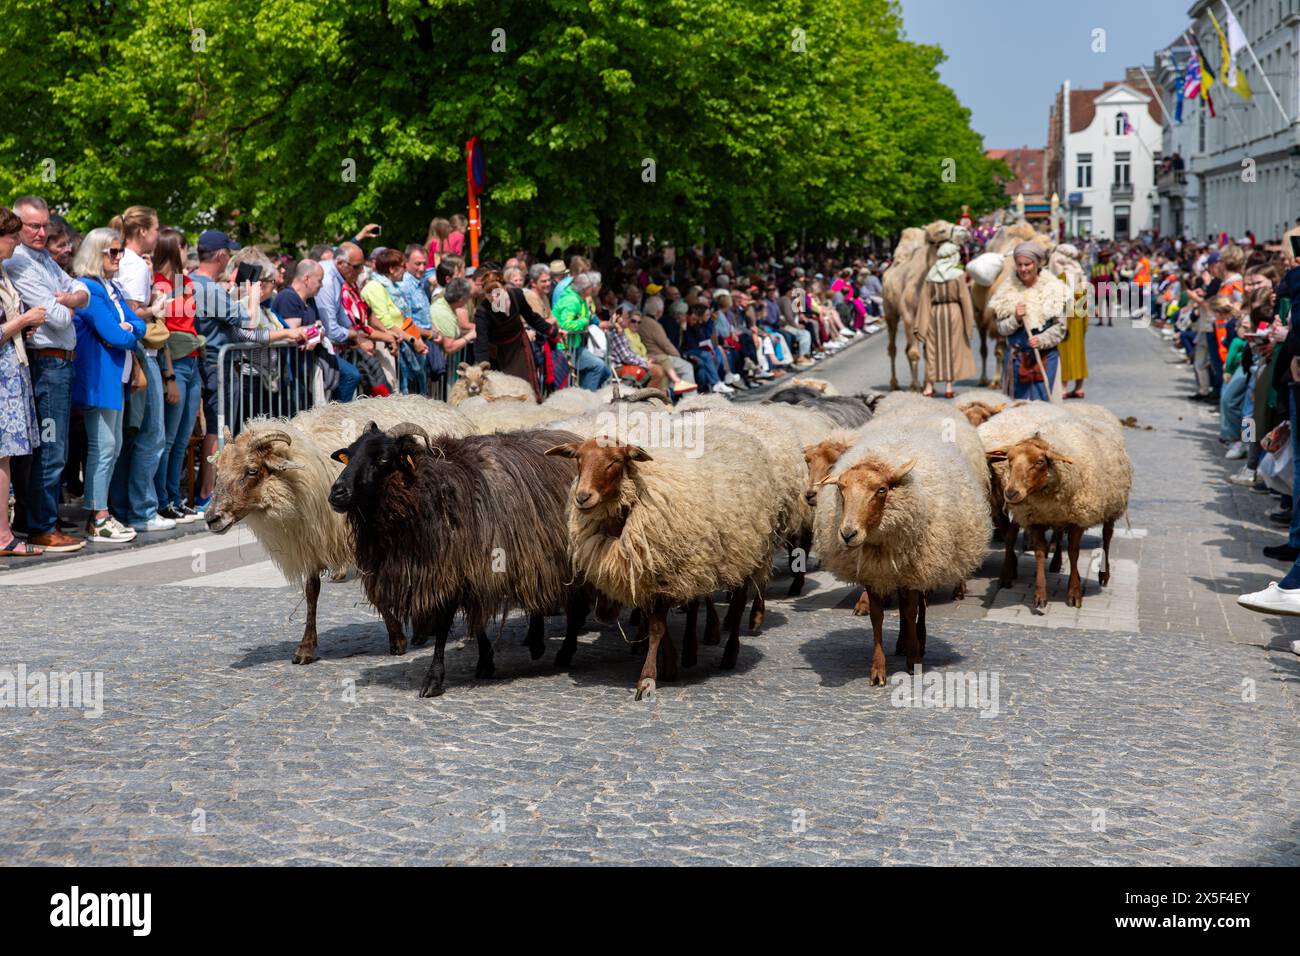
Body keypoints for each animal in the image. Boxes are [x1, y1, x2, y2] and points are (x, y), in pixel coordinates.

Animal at [883, 221, 967, 390]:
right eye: (941, 230)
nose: (965, 231)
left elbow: (928, 352)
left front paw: (927, 385)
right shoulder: (908, 315)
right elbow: (914, 353)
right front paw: (915, 386)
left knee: (907, 348)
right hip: (890, 312)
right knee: (893, 348)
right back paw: (894, 384)